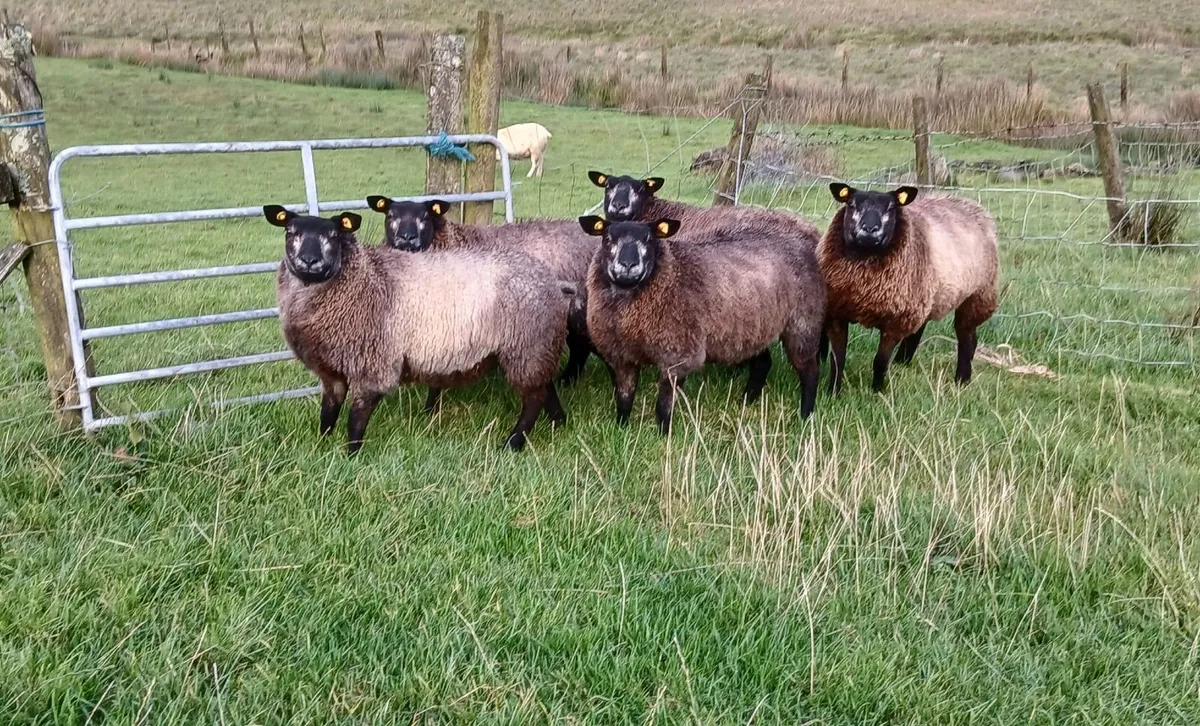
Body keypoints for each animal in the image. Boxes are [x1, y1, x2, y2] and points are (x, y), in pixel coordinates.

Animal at [263, 205, 573, 455]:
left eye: (333, 236)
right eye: (290, 231)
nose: (309, 261)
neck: (363, 277)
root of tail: (550, 279)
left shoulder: (373, 365)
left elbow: (356, 418)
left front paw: (351, 456)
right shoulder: (330, 370)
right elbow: (328, 412)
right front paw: (323, 446)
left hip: (528, 345)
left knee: (533, 398)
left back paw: (513, 442)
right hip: (539, 346)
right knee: (545, 386)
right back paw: (558, 422)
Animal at [365, 195, 599, 396]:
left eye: (424, 217)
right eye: (390, 216)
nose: (406, 238)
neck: (453, 238)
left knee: (583, 346)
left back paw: (568, 380)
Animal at [578, 215, 826, 433]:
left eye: (649, 239)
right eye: (607, 238)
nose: (628, 264)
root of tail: (805, 236)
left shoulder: (677, 356)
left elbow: (663, 404)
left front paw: (663, 436)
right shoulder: (622, 356)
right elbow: (624, 397)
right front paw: (621, 427)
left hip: (803, 321)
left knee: (809, 369)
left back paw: (805, 415)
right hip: (753, 326)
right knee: (763, 363)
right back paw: (746, 402)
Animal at [820, 183, 999, 394]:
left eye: (891, 208)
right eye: (851, 204)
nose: (870, 229)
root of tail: (970, 204)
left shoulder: (895, 321)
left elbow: (880, 362)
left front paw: (877, 392)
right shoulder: (837, 313)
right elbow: (837, 359)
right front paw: (833, 392)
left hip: (978, 295)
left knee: (966, 337)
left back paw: (962, 378)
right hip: (925, 298)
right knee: (921, 330)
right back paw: (902, 362)